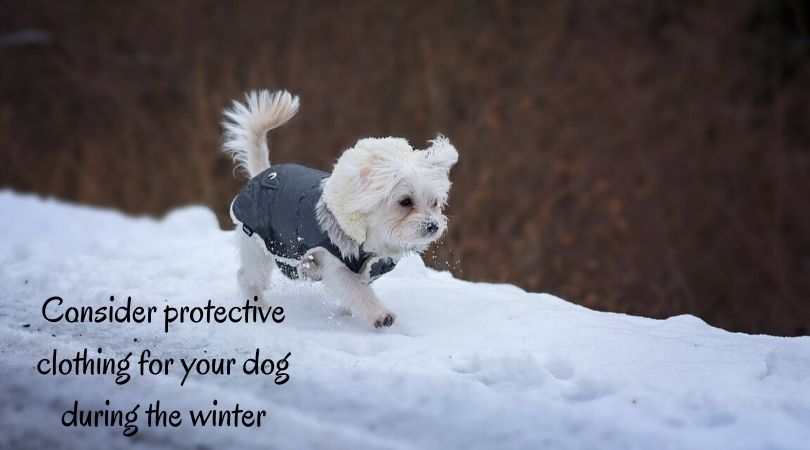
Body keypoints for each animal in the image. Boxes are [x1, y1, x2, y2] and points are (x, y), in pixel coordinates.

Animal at [221, 89, 458, 326]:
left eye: (435, 203)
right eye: (406, 202)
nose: (433, 226)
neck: (372, 237)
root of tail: (263, 173)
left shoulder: (367, 269)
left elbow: (355, 293)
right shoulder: (338, 265)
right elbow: (357, 291)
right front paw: (380, 314)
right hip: (257, 245)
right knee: (247, 277)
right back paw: (258, 305)